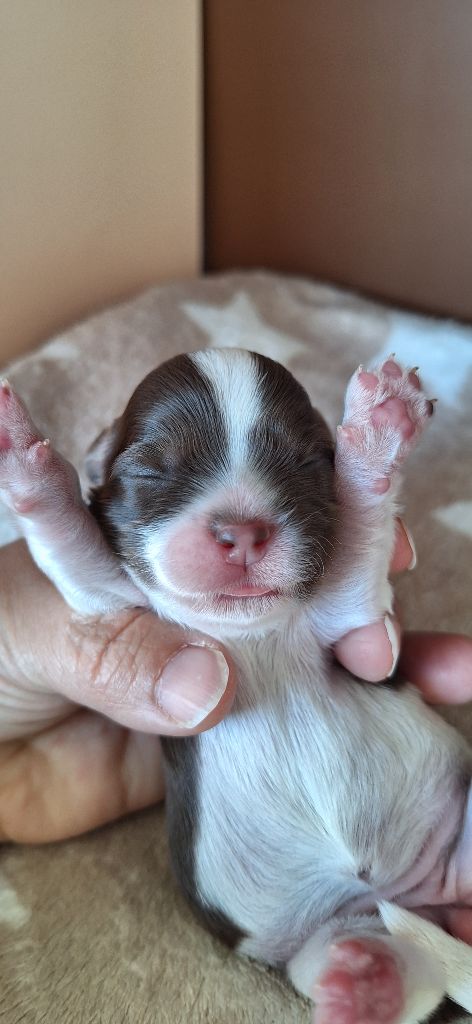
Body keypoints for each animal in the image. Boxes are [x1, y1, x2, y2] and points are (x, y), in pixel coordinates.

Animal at [1, 349, 471, 1023]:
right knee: (389, 963)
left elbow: (359, 539)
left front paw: (379, 430)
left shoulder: (351, 618)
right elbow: (70, 543)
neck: (250, 636)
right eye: (148, 467)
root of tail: (431, 898)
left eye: (310, 462)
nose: (243, 531)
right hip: (331, 929)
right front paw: (20, 454)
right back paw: (366, 978)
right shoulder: (108, 602)